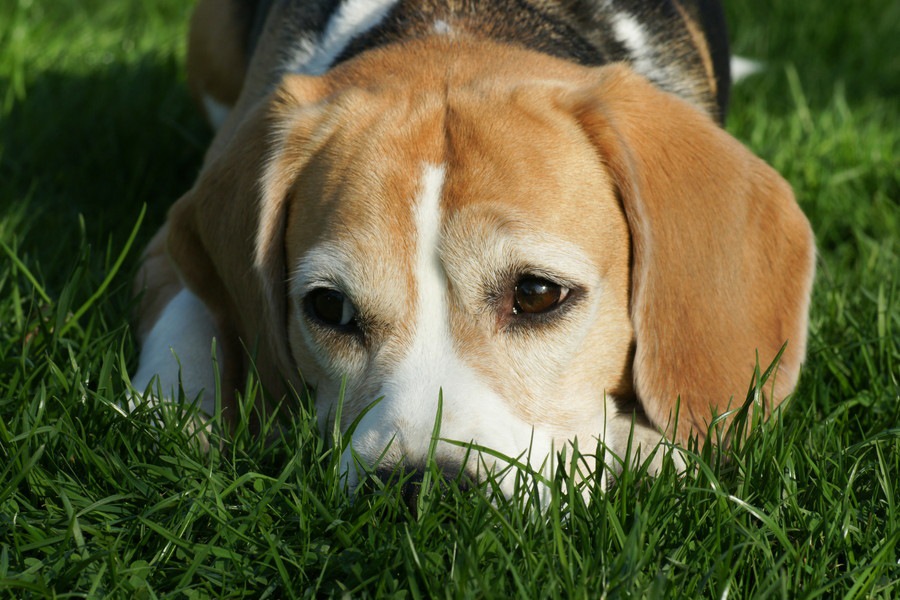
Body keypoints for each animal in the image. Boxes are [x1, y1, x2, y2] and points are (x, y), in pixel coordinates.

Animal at [132, 0, 816, 494]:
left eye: (537, 295)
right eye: (329, 308)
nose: (419, 490)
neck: (458, 20)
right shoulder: (170, 241)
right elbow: (183, 323)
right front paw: (176, 417)